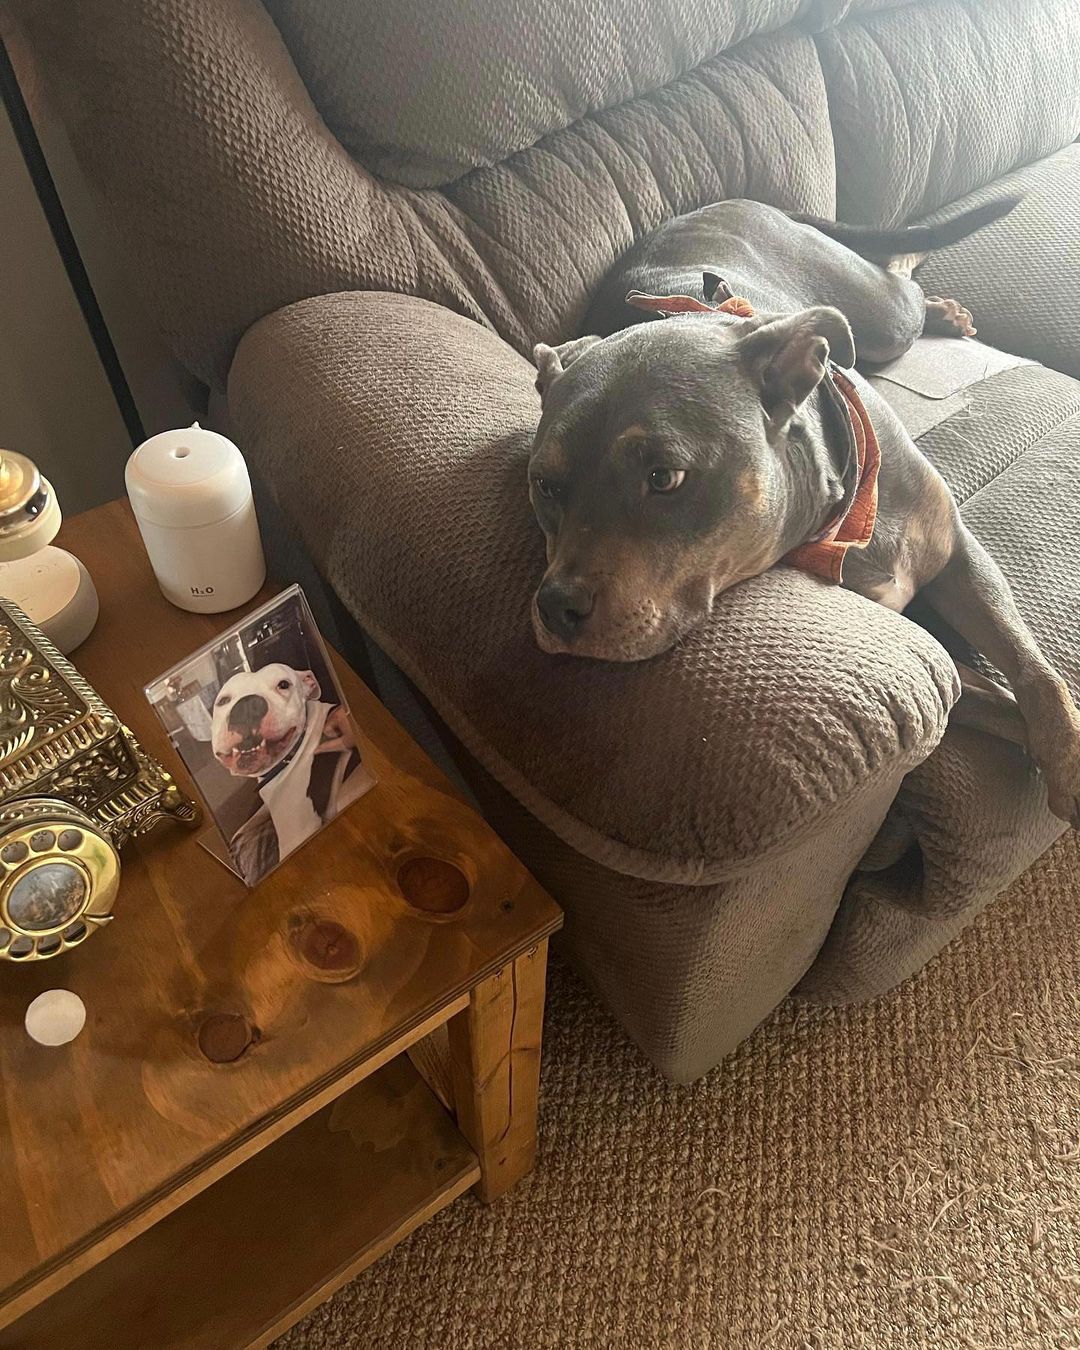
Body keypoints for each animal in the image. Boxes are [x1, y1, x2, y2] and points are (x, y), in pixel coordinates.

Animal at [529, 197, 1080, 826]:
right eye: (545, 486)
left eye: (664, 477)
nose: (556, 607)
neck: (843, 508)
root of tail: (735, 200)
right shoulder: (925, 648)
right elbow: (997, 701)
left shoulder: (959, 554)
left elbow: (1033, 672)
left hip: (879, 316)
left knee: (903, 284)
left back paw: (937, 302)